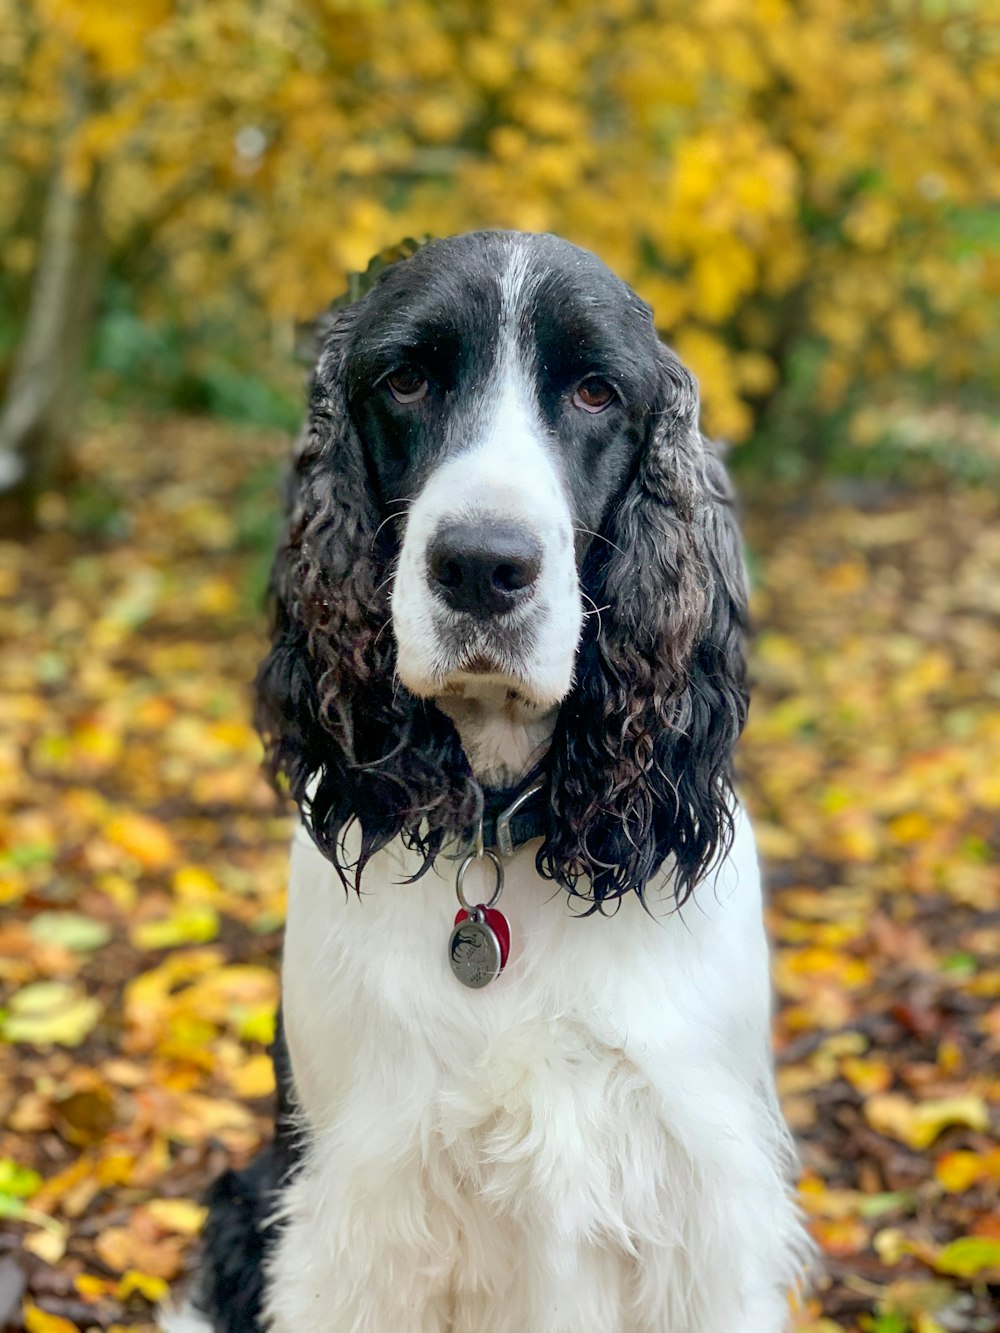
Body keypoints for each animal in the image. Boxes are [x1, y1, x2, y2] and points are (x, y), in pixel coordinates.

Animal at [168, 231, 810, 1333]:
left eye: (596, 391)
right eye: (406, 379)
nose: (481, 565)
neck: (505, 832)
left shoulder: (701, 1211)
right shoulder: (358, 1214)